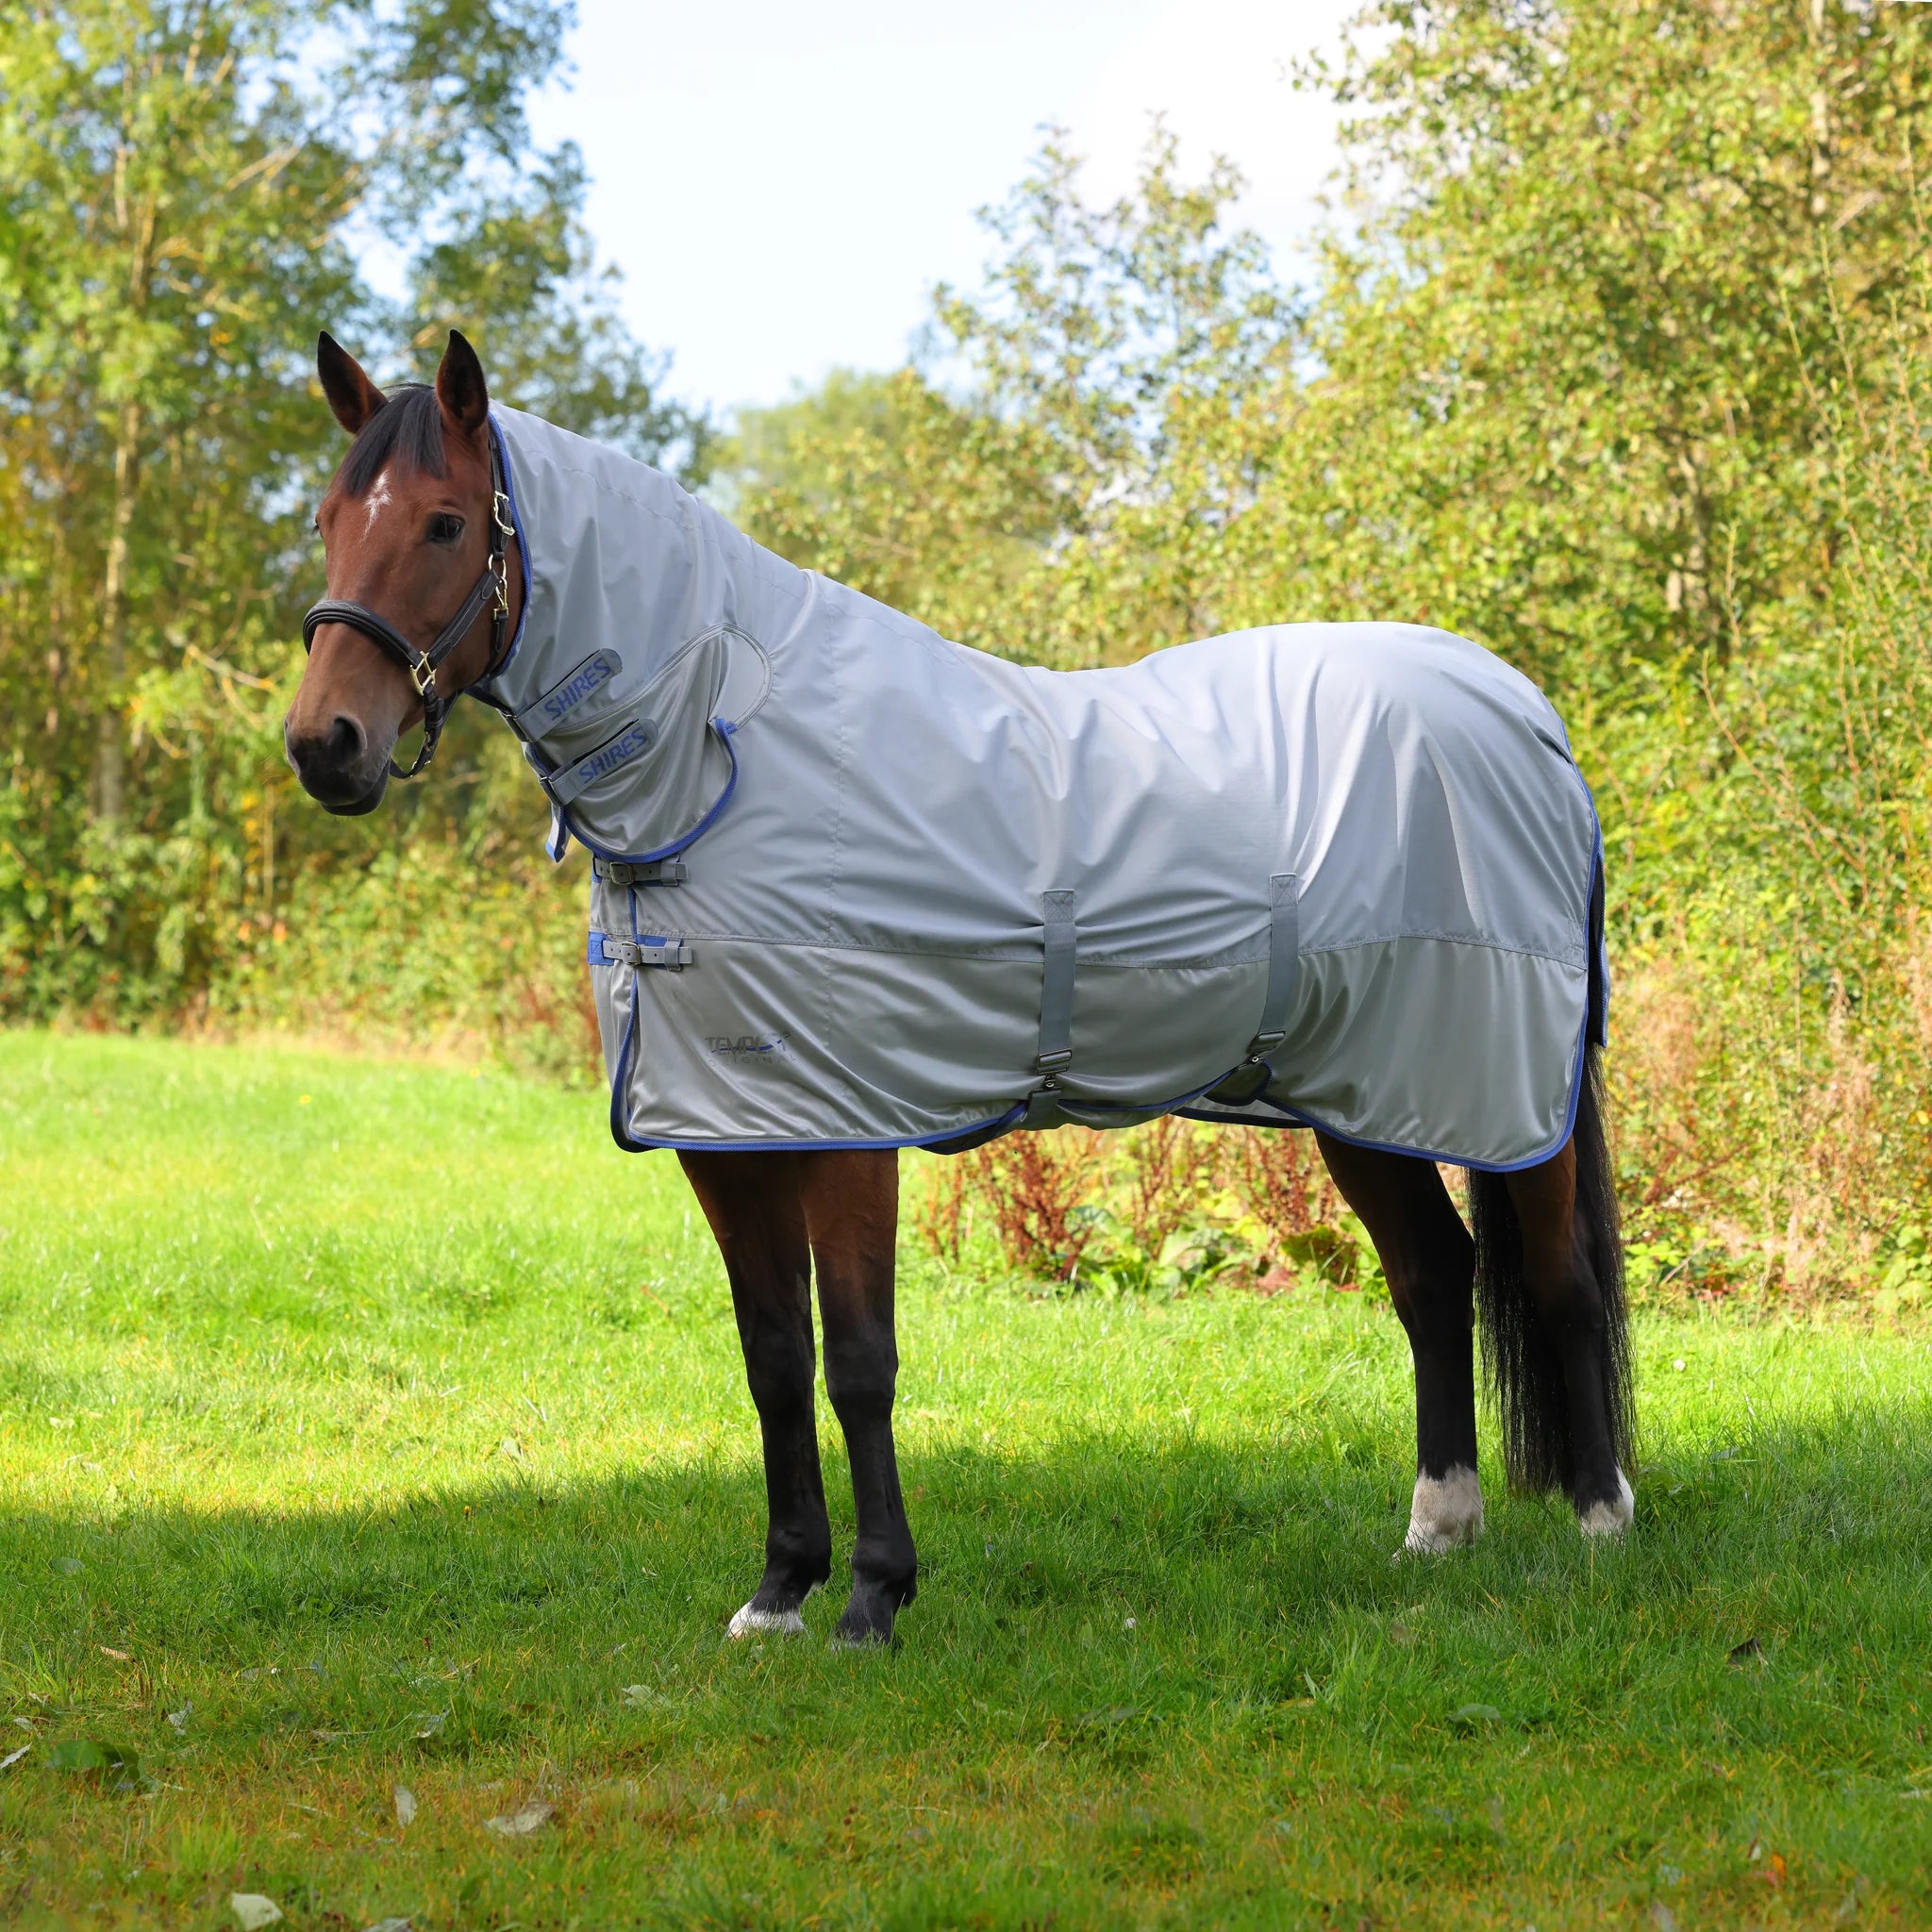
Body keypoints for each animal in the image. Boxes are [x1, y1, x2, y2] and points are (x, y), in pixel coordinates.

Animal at [284, 328, 1634, 1647]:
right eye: (328, 517)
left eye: (445, 523)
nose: (323, 745)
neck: (729, 751)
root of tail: (1528, 718)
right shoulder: (724, 1133)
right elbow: (772, 1358)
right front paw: (778, 1590)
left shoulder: (846, 1128)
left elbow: (857, 1361)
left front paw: (872, 1597)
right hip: (1366, 1091)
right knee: (1434, 1277)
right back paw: (1436, 1530)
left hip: (1504, 1087)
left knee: (1555, 1277)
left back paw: (1599, 1526)